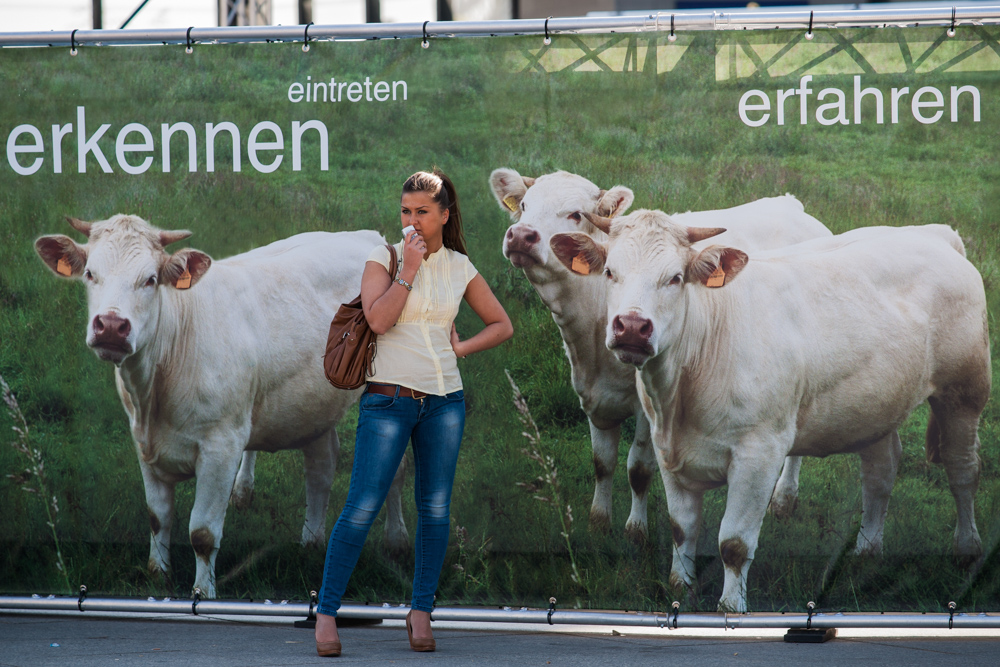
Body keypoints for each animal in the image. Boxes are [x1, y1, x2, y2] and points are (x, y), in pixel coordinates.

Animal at [35, 217, 408, 596]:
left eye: (151, 279)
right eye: (90, 274)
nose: (111, 326)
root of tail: (369, 236)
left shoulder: (221, 447)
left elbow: (202, 532)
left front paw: (203, 593)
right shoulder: (142, 442)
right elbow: (157, 517)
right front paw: (159, 575)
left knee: (394, 468)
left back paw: (396, 542)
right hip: (314, 404)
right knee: (322, 463)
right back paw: (311, 544)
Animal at [490, 170, 828, 540]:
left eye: (576, 214)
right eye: (524, 205)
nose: (521, 235)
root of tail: (790, 203)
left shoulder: (649, 405)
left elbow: (638, 469)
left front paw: (636, 530)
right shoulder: (591, 393)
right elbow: (602, 462)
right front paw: (598, 521)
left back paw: (783, 499)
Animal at [552, 213, 988, 612]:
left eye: (675, 277)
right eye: (610, 272)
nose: (631, 327)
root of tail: (933, 233)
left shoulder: (758, 454)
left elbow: (733, 543)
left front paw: (731, 607)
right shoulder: (666, 449)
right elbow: (681, 530)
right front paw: (681, 591)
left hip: (964, 391)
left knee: (963, 471)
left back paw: (967, 551)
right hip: (877, 405)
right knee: (881, 472)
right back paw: (866, 552)